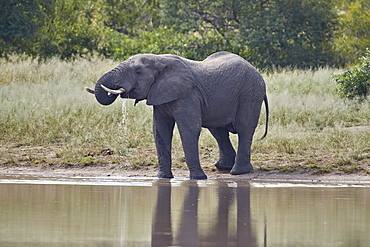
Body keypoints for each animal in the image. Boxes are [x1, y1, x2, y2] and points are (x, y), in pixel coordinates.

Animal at [85, 51, 268, 179]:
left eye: (138, 71)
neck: (159, 59)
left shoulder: (188, 95)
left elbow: (189, 129)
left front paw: (198, 179)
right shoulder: (160, 95)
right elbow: (160, 130)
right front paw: (162, 178)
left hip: (250, 93)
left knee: (244, 128)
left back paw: (238, 172)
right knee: (218, 131)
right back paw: (223, 167)